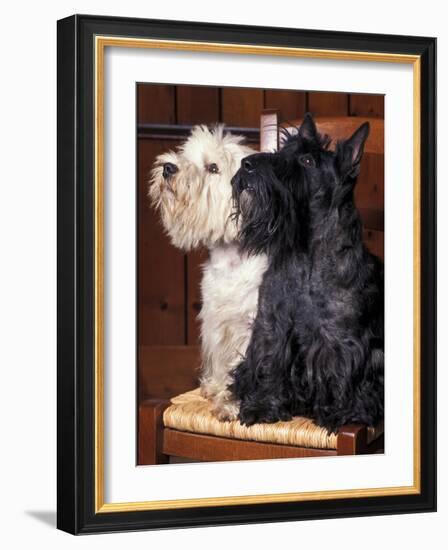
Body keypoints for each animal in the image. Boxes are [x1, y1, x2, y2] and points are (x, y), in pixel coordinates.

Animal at [149, 127, 268, 420]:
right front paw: (215, 387)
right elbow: (221, 360)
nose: (168, 167)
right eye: (185, 154)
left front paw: (231, 405)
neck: (232, 259)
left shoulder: (251, 327)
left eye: (213, 167)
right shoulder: (215, 321)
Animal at [229, 114, 384, 434]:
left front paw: (340, 412)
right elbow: (271, 364)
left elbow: (341, 374)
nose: (247, 164)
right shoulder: (272, 328)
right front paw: (263, 406)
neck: (307, 258)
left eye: (308, 160)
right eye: (283, 150)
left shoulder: (342, 339)